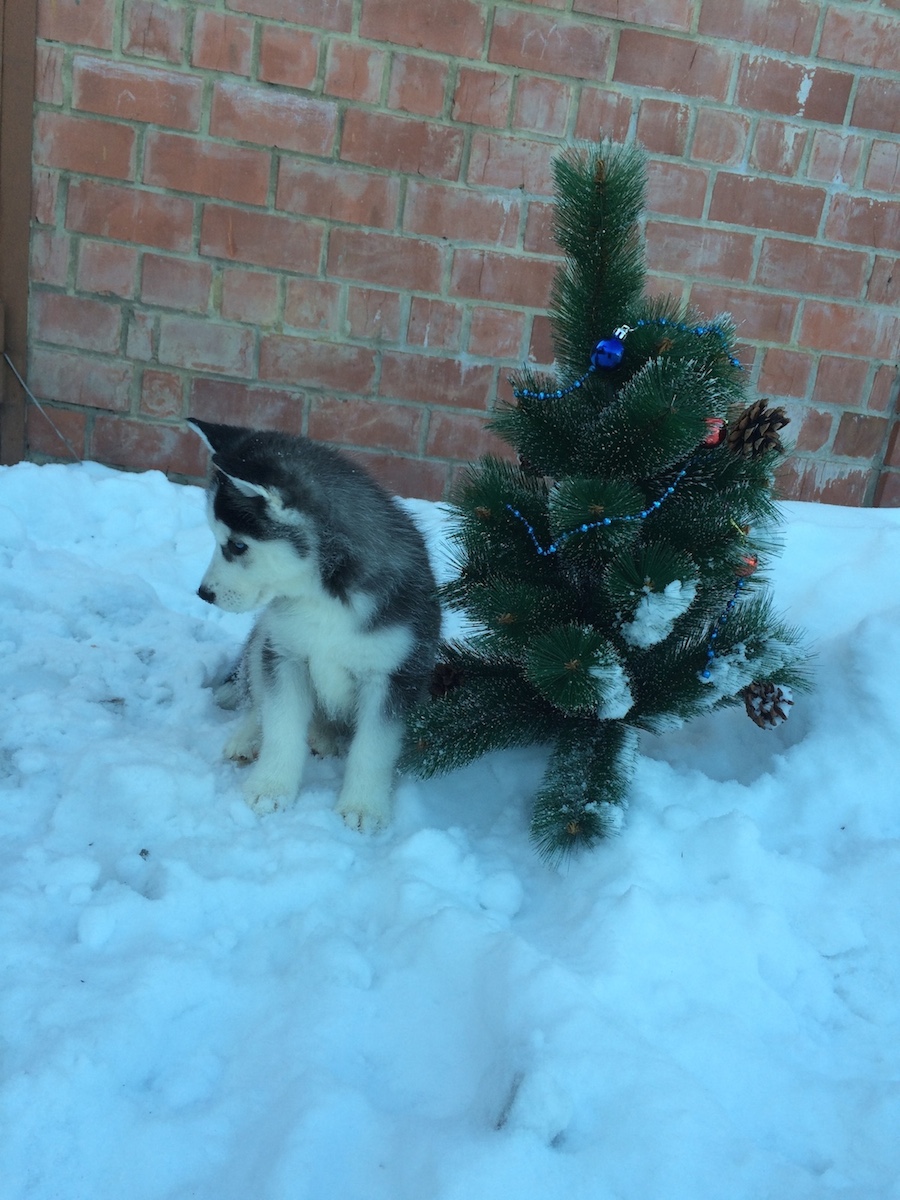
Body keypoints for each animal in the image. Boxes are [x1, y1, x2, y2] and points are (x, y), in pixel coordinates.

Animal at [190, 419, 441, 831]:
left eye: (238, 546)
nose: (203, 594)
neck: (324, 597)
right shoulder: (285, 654)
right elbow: (280, 727)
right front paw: (271, 787)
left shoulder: (392, 675)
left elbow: (374, 748)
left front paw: (364, 807)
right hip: (263, 638)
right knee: (256, 702)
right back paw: (248, 739)